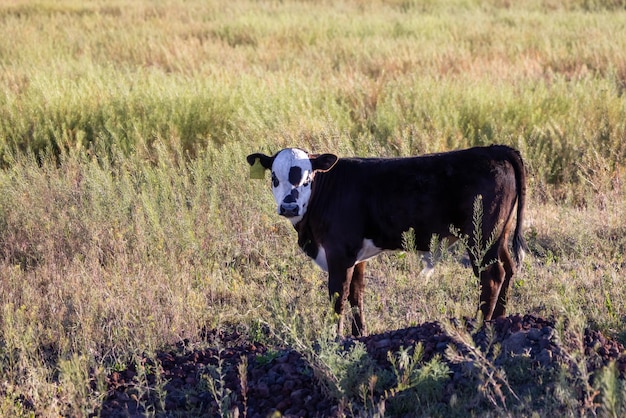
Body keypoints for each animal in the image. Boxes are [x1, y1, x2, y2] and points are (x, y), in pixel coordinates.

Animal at [246, 146, 524, 336]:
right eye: (274, 178)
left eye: (307, 179)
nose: (289, 207)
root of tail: (494, 148)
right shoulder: (356, 256)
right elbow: (356, 294)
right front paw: (359, 335)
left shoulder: (339, 252)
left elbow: (338, 294)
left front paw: (335, 337)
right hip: (499, 235)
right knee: (508, 269)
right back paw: (500, 319)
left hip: (481, 238)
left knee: (492, 276)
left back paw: (481, 323)